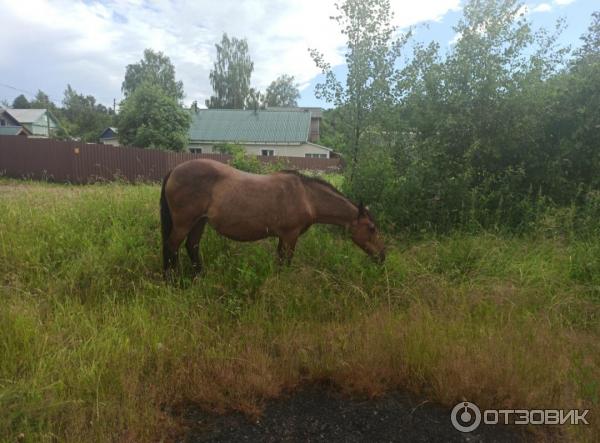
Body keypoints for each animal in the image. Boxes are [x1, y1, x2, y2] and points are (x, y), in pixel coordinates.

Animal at [159, 160, 384, 278]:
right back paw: (173, 280)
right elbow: (286, 262)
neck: (306, 196)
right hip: (184, 223)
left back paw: (200, 276)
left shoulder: (283, 237)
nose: (382, 256)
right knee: (172, 247)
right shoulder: (291, 236)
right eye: (372, 228)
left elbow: (279, 261)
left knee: (192, 246)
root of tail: (174, 169)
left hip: (199, 222)